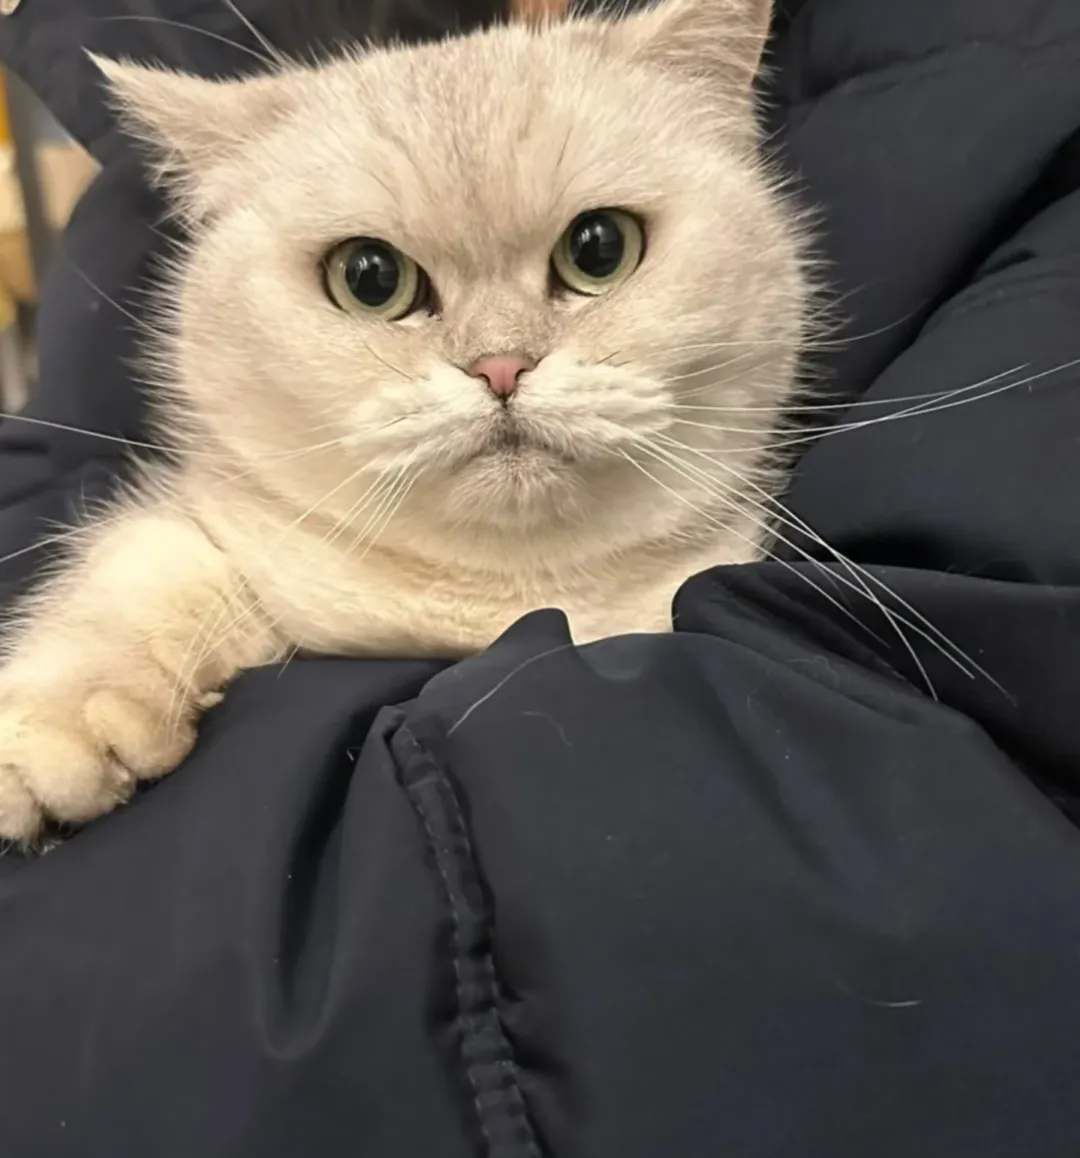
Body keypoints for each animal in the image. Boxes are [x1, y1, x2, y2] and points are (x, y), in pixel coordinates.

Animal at [0, 0, 808, 845]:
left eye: (600, 248)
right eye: (370, 277)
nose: (501, 366)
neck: (505, 594)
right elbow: (149, 562)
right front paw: (61, 728)